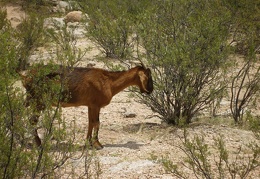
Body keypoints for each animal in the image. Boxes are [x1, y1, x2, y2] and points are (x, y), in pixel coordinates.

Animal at [22, 65, 153, 149]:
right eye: (148, 77)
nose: (151, 90)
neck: (109, 81)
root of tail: (26, 78)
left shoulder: (91, 105)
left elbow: (90, 122)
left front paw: (88, 142)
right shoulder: (96, 105)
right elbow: (97, 123)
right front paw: (97, 144)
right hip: (39, 101)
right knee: (32, 121)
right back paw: (39, 144)